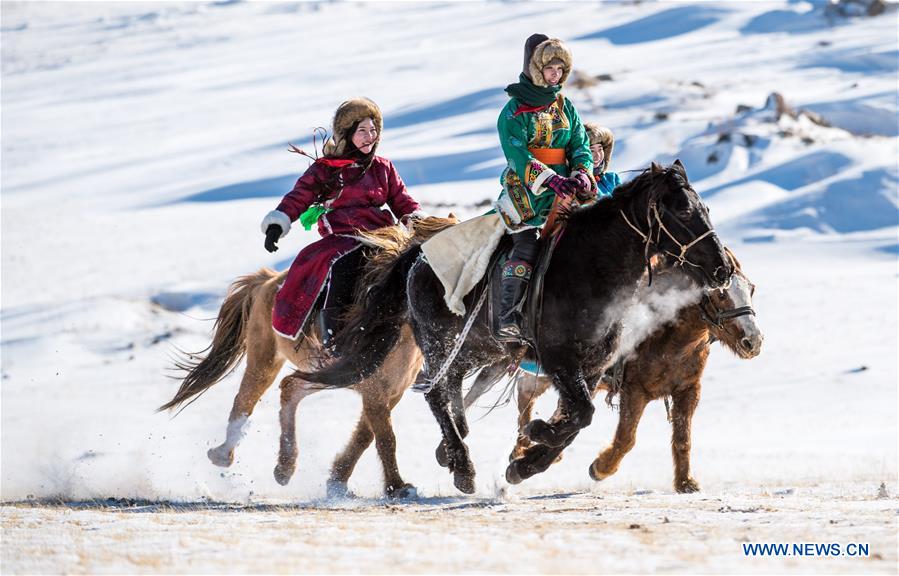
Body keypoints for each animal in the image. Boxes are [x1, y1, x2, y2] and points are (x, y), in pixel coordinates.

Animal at [158, 216, 457, 499]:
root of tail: (267, 280)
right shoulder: (375, 391)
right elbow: (385, 439)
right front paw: (398, 487)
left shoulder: (390, 392)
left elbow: (365, 436)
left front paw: (338, 480)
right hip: (265, 359)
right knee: (245, 400)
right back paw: (225, 455)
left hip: (319, 371)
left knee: (290, 388)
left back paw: (284, 468)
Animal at [457, 246, 762, 492]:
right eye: (720, 295)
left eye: (751, 289)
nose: (754, 341)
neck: (667, 334)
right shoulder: (634, 390)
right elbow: (626, 438)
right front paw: (601, 467)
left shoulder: (688, 390)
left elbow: (683, 438)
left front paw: (685, 482)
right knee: (520, 398)